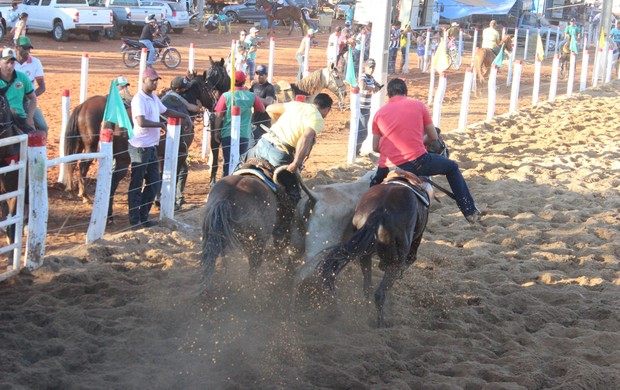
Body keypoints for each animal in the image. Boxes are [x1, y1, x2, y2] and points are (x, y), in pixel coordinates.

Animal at [320, 172, 432, 328]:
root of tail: (378, 213)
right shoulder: (413, 247)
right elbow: (410, 260)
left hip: (364, 255)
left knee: (367, 287)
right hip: (396, 260)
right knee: (380, 293)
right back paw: (381, 325)